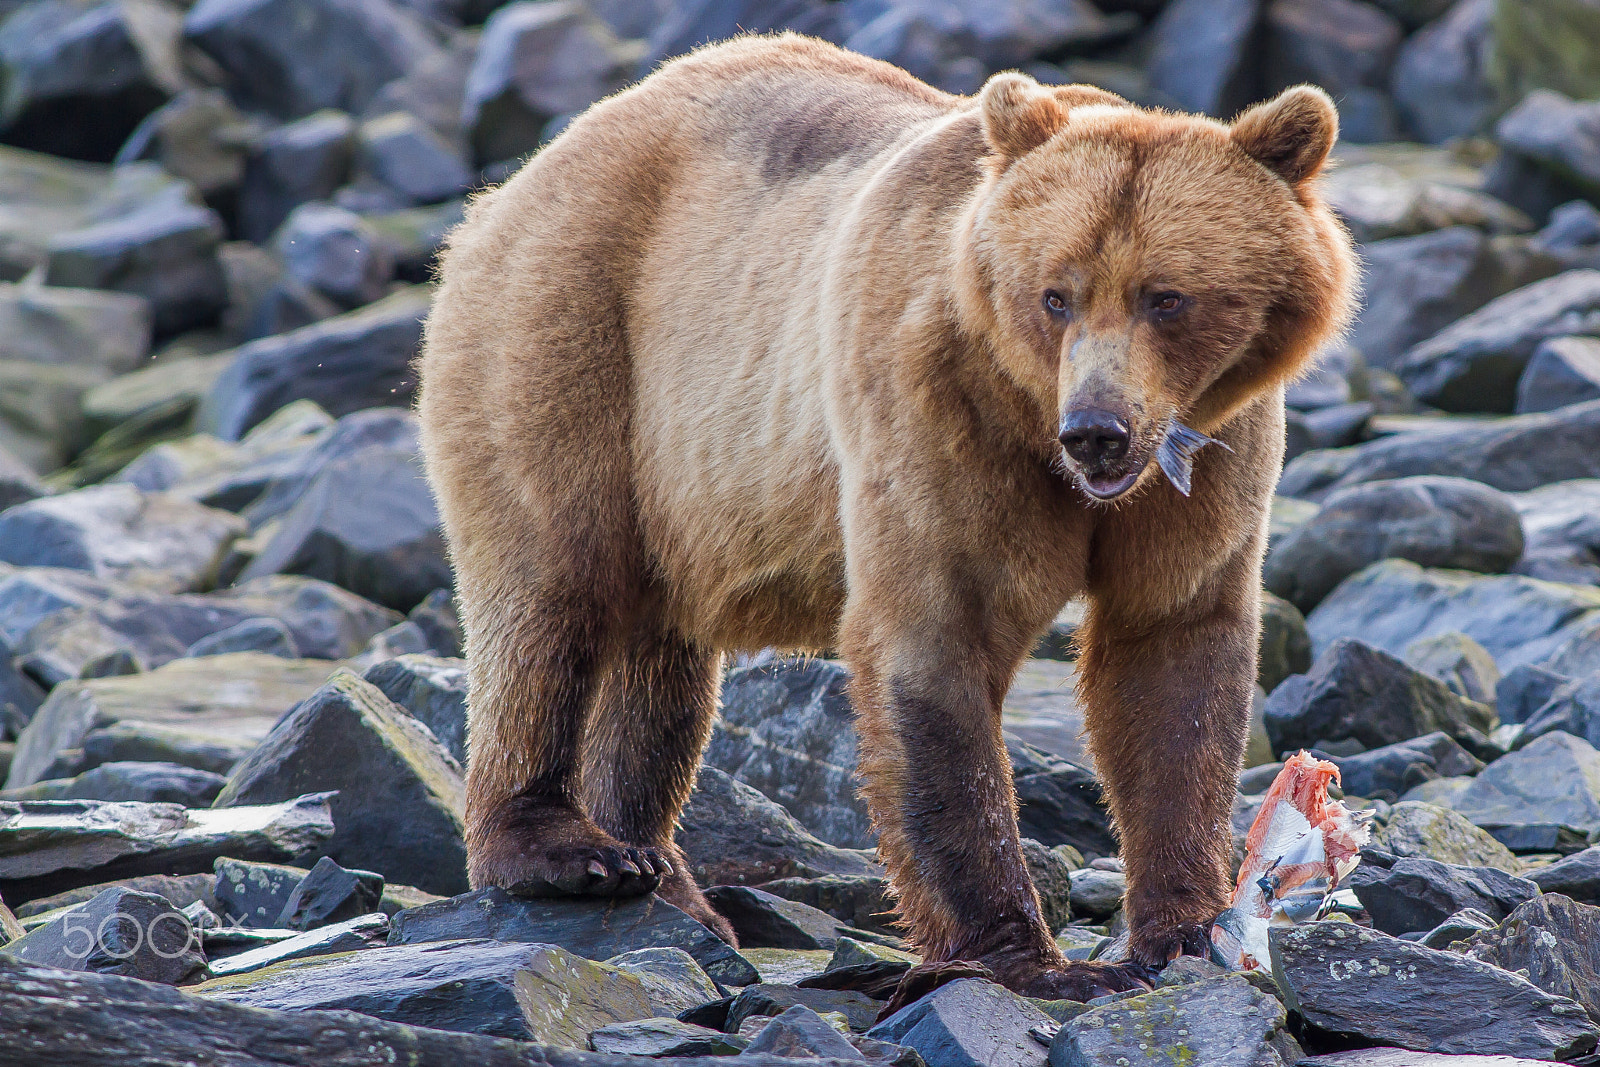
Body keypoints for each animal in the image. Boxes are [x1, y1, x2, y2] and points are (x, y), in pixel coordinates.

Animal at [419, 31, 1356, 1004]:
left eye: (1166, 296)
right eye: (1055, 294)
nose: (1097, 430)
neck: (1040, 432)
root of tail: (529, 171)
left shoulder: (1209, 456)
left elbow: (1173, 657)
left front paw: (1184, 932)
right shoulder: (934, 404)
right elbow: (936, 637)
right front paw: (1029, 958)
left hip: (677, 483)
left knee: (658, 666)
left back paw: (660, 871)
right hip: (577, 339)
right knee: (551, 588)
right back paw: (569, 852)